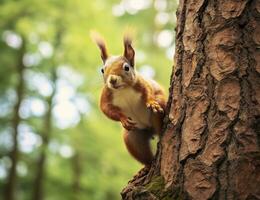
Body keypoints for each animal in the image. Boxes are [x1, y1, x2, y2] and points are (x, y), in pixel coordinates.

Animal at [93, 33, 167, 166]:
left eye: (126, 67)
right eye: (102, 70)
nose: (112, 80)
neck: (123, 89)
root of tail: (150, 131)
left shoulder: (141, 83)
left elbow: (149, 91)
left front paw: (151, 102)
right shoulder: (106, 95)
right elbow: (105, 109)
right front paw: (123, 119)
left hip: (156, 115)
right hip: (132, 138)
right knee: (144, 156)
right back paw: (148, 166)